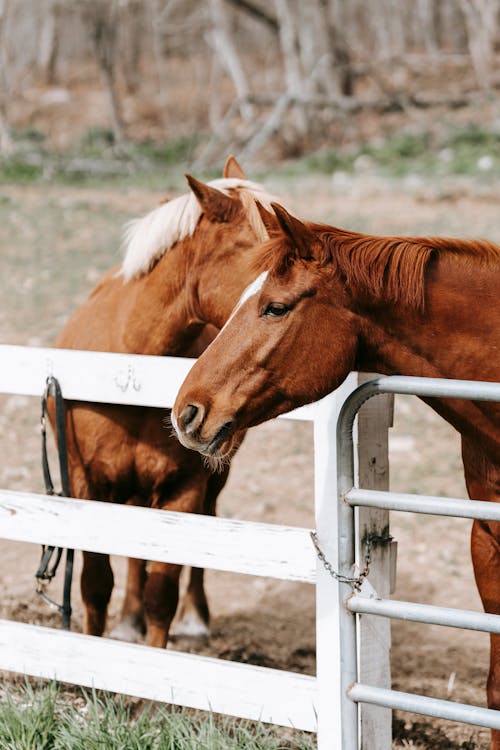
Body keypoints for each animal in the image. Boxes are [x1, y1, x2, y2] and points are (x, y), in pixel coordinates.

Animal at [53, 160, 278, 652]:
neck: (132, 365)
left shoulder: (183, 489)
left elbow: (163, 593)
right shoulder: (85, 481)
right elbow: (95, 585)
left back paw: (194, 619)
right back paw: (127, 620)